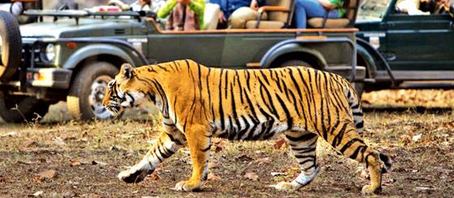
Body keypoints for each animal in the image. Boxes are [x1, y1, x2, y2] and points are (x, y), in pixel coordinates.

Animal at [103, 59, 390, 194]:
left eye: (111, 87)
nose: (104, 103)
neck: (153, 90)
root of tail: (338, 77)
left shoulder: (194, 129)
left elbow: (198, 160)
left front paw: (192, 184)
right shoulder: (173, 132)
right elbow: (151, 155)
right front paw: (129, 174)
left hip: (334, 127)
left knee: (371, 155)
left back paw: (373, 188)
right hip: (300, 136)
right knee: (312, 166)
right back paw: (288, 187)